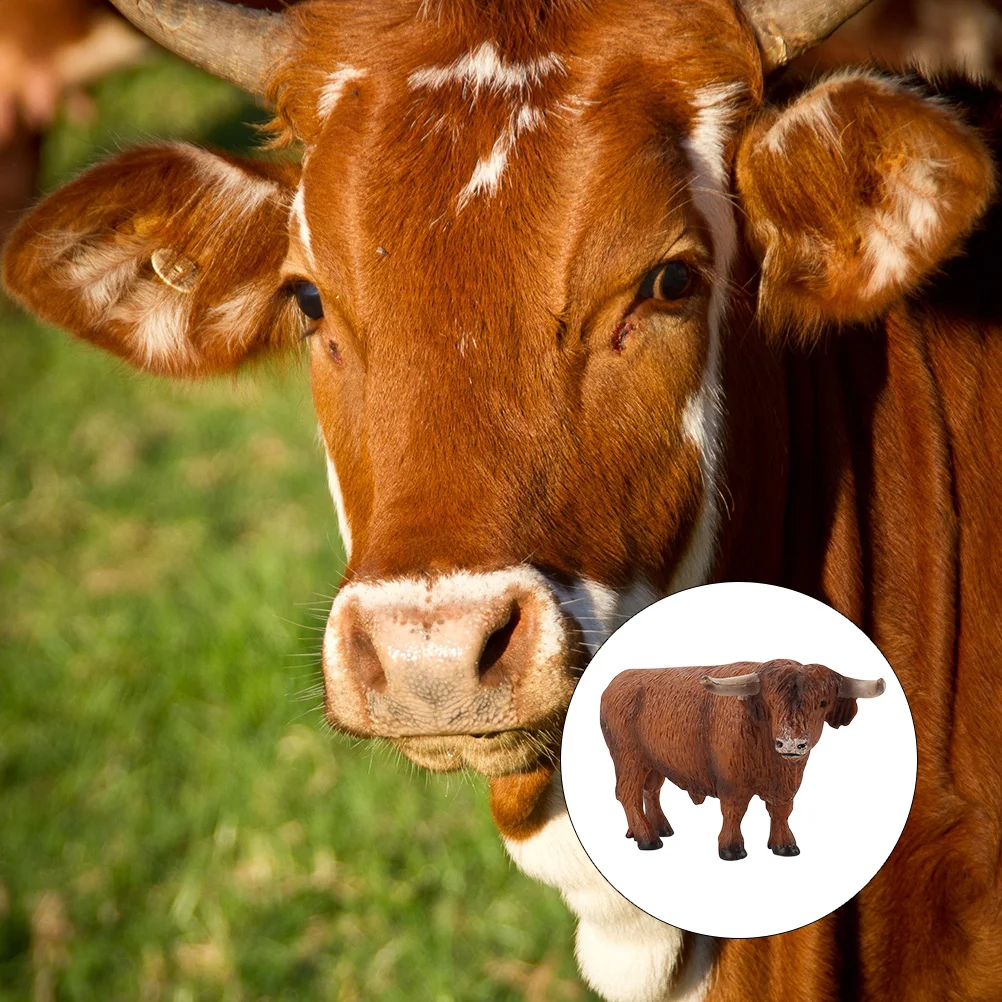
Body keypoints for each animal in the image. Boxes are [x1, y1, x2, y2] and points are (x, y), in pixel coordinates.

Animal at [599, 660, 886, 858]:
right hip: (629, 759)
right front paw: (732, 849)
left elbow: (782, 810)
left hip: (653, 763)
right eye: (771, 702)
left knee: (650, 792)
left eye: (822, 703)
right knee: (628, 794)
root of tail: (614, 684)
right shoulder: (732, 781)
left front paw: (785, 845)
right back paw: (647, 839)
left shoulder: (786, 784)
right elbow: (734, 811)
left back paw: (655, 829)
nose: (791, 743)